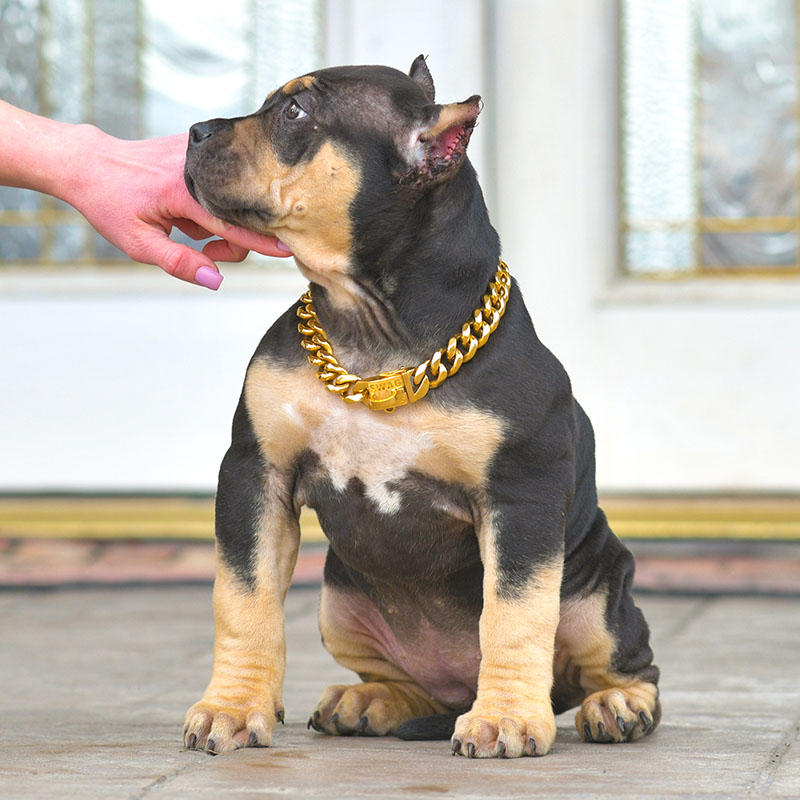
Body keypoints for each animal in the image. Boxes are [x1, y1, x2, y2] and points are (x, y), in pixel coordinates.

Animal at [183, 57, 664, 764]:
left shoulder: (521, 496)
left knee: (622, 664)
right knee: (405, 680)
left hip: (600, 591)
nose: (193, 130)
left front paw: (506, 719)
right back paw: (372, 700)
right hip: (339, 599)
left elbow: (516, 612)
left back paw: (617, 704)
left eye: (295, 112)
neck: (371, 323)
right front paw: (233, 707)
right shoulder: (254, 474)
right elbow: (244, 598)